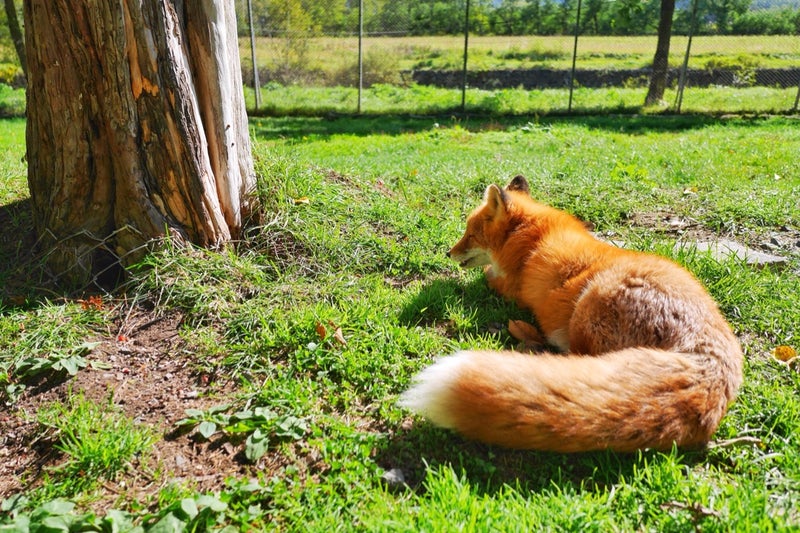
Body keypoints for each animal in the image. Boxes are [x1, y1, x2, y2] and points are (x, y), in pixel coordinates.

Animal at [400, 177, 744, 450]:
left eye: (470, 234)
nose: (448, 253)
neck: (534, 237)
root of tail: (711, 354)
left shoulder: (508, 284)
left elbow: (487, 275)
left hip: (589, 308)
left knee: (574, 359)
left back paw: (530, 339)